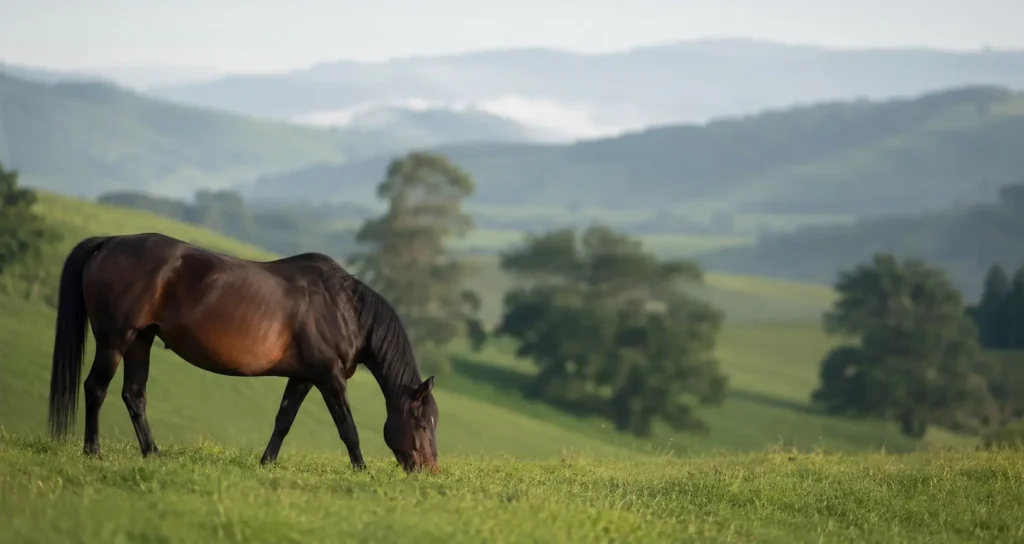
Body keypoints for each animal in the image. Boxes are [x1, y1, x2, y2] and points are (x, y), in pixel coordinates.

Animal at [46, 232, 440, 474]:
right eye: (422, 424)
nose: (429, 471)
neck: (344, 307)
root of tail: (109, 243)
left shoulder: (303, 377)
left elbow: (284, 421)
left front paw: (266, 462)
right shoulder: (330, 377)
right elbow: (348, 429)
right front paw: (361, 469)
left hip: (140, 341)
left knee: (134, 396)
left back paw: (152, 452)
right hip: (115, 340)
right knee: (96, 389)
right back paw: (93, 451)